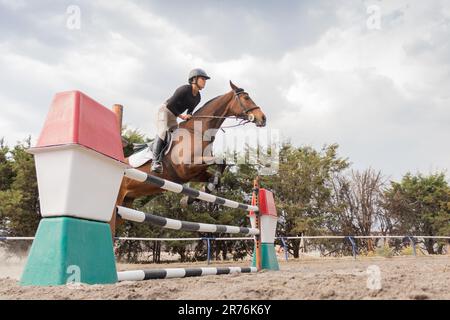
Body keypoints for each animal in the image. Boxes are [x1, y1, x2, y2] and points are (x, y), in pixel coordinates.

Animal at [110, 81, 266, 234]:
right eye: (246, 98)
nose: (263, 118)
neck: (197, 132)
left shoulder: (195, 173)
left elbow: (215, 176)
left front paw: (191, 198)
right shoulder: (186, 168)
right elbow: (221, 160)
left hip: (126, 202)